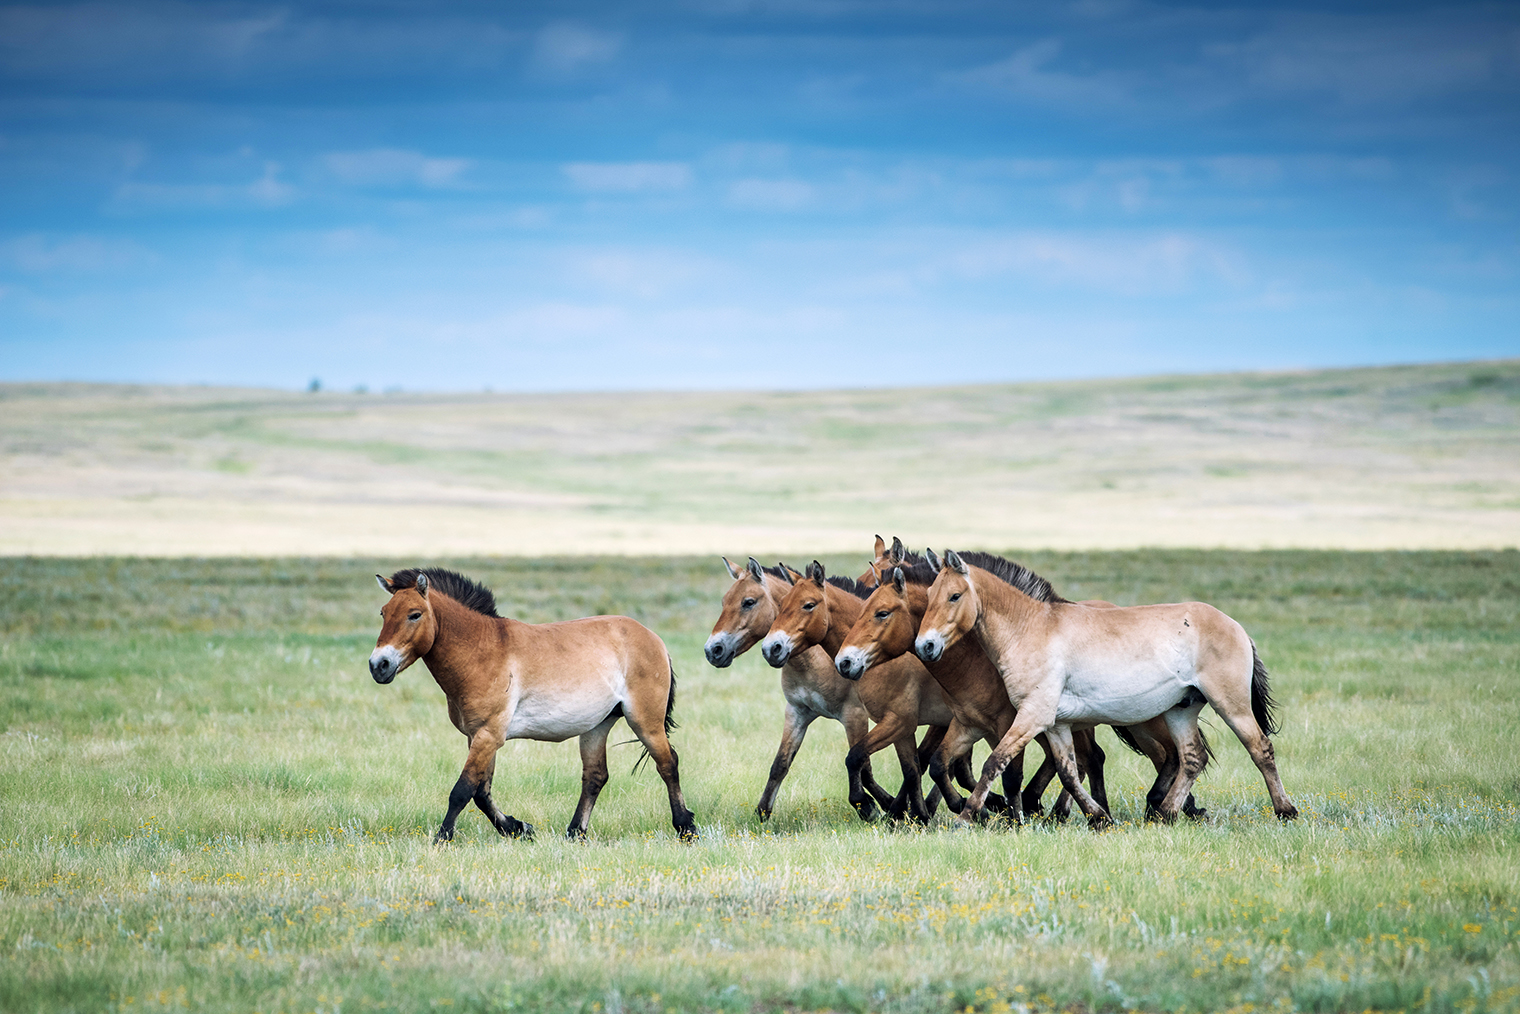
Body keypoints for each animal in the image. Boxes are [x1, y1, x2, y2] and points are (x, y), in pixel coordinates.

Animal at [370, 568, 696, 845]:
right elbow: (481, 793)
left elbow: (462, 791)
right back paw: (575, 833)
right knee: (595, 776)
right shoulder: (478, 737)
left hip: (644, 721)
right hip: (596, 726)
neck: (482, 651)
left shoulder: (489, 736)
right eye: (384, 612)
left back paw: (686, 828)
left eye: (415, 614)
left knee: (668, 764)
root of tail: (653, 638)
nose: (378, 665)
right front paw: (518, 828)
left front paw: (442, 838)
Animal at [702, 556, 899, 827]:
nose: (713, 650)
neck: (815, 659)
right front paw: (762, 812)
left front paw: (876, 807)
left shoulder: (855, 716)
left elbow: (863, 766)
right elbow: (780, 764)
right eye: (724, 602)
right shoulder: (797, 712)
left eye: (748, 602)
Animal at [756, 559, 966, 827]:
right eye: (781, 604)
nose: (771, 648)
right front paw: (916, 816)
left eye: (809, 605)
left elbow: (856, 758)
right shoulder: (902, 726)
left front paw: (868, 806)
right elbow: (911, 769)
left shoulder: (894, 720)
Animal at [912, 547, 1295, 827]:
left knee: (1260, 749)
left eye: (954, 596)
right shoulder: (1057, 724)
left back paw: (1285, 811)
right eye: (929, 595)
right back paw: (1166, 814)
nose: (924, 646)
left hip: (1231, 705)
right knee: (1191, 758)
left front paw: (966, 816)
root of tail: (1235, 625)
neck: (1031, 629)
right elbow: (1068, 773)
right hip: (1181, 710)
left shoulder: (1032, 717)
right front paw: (1098, 817)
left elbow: (995, 763)